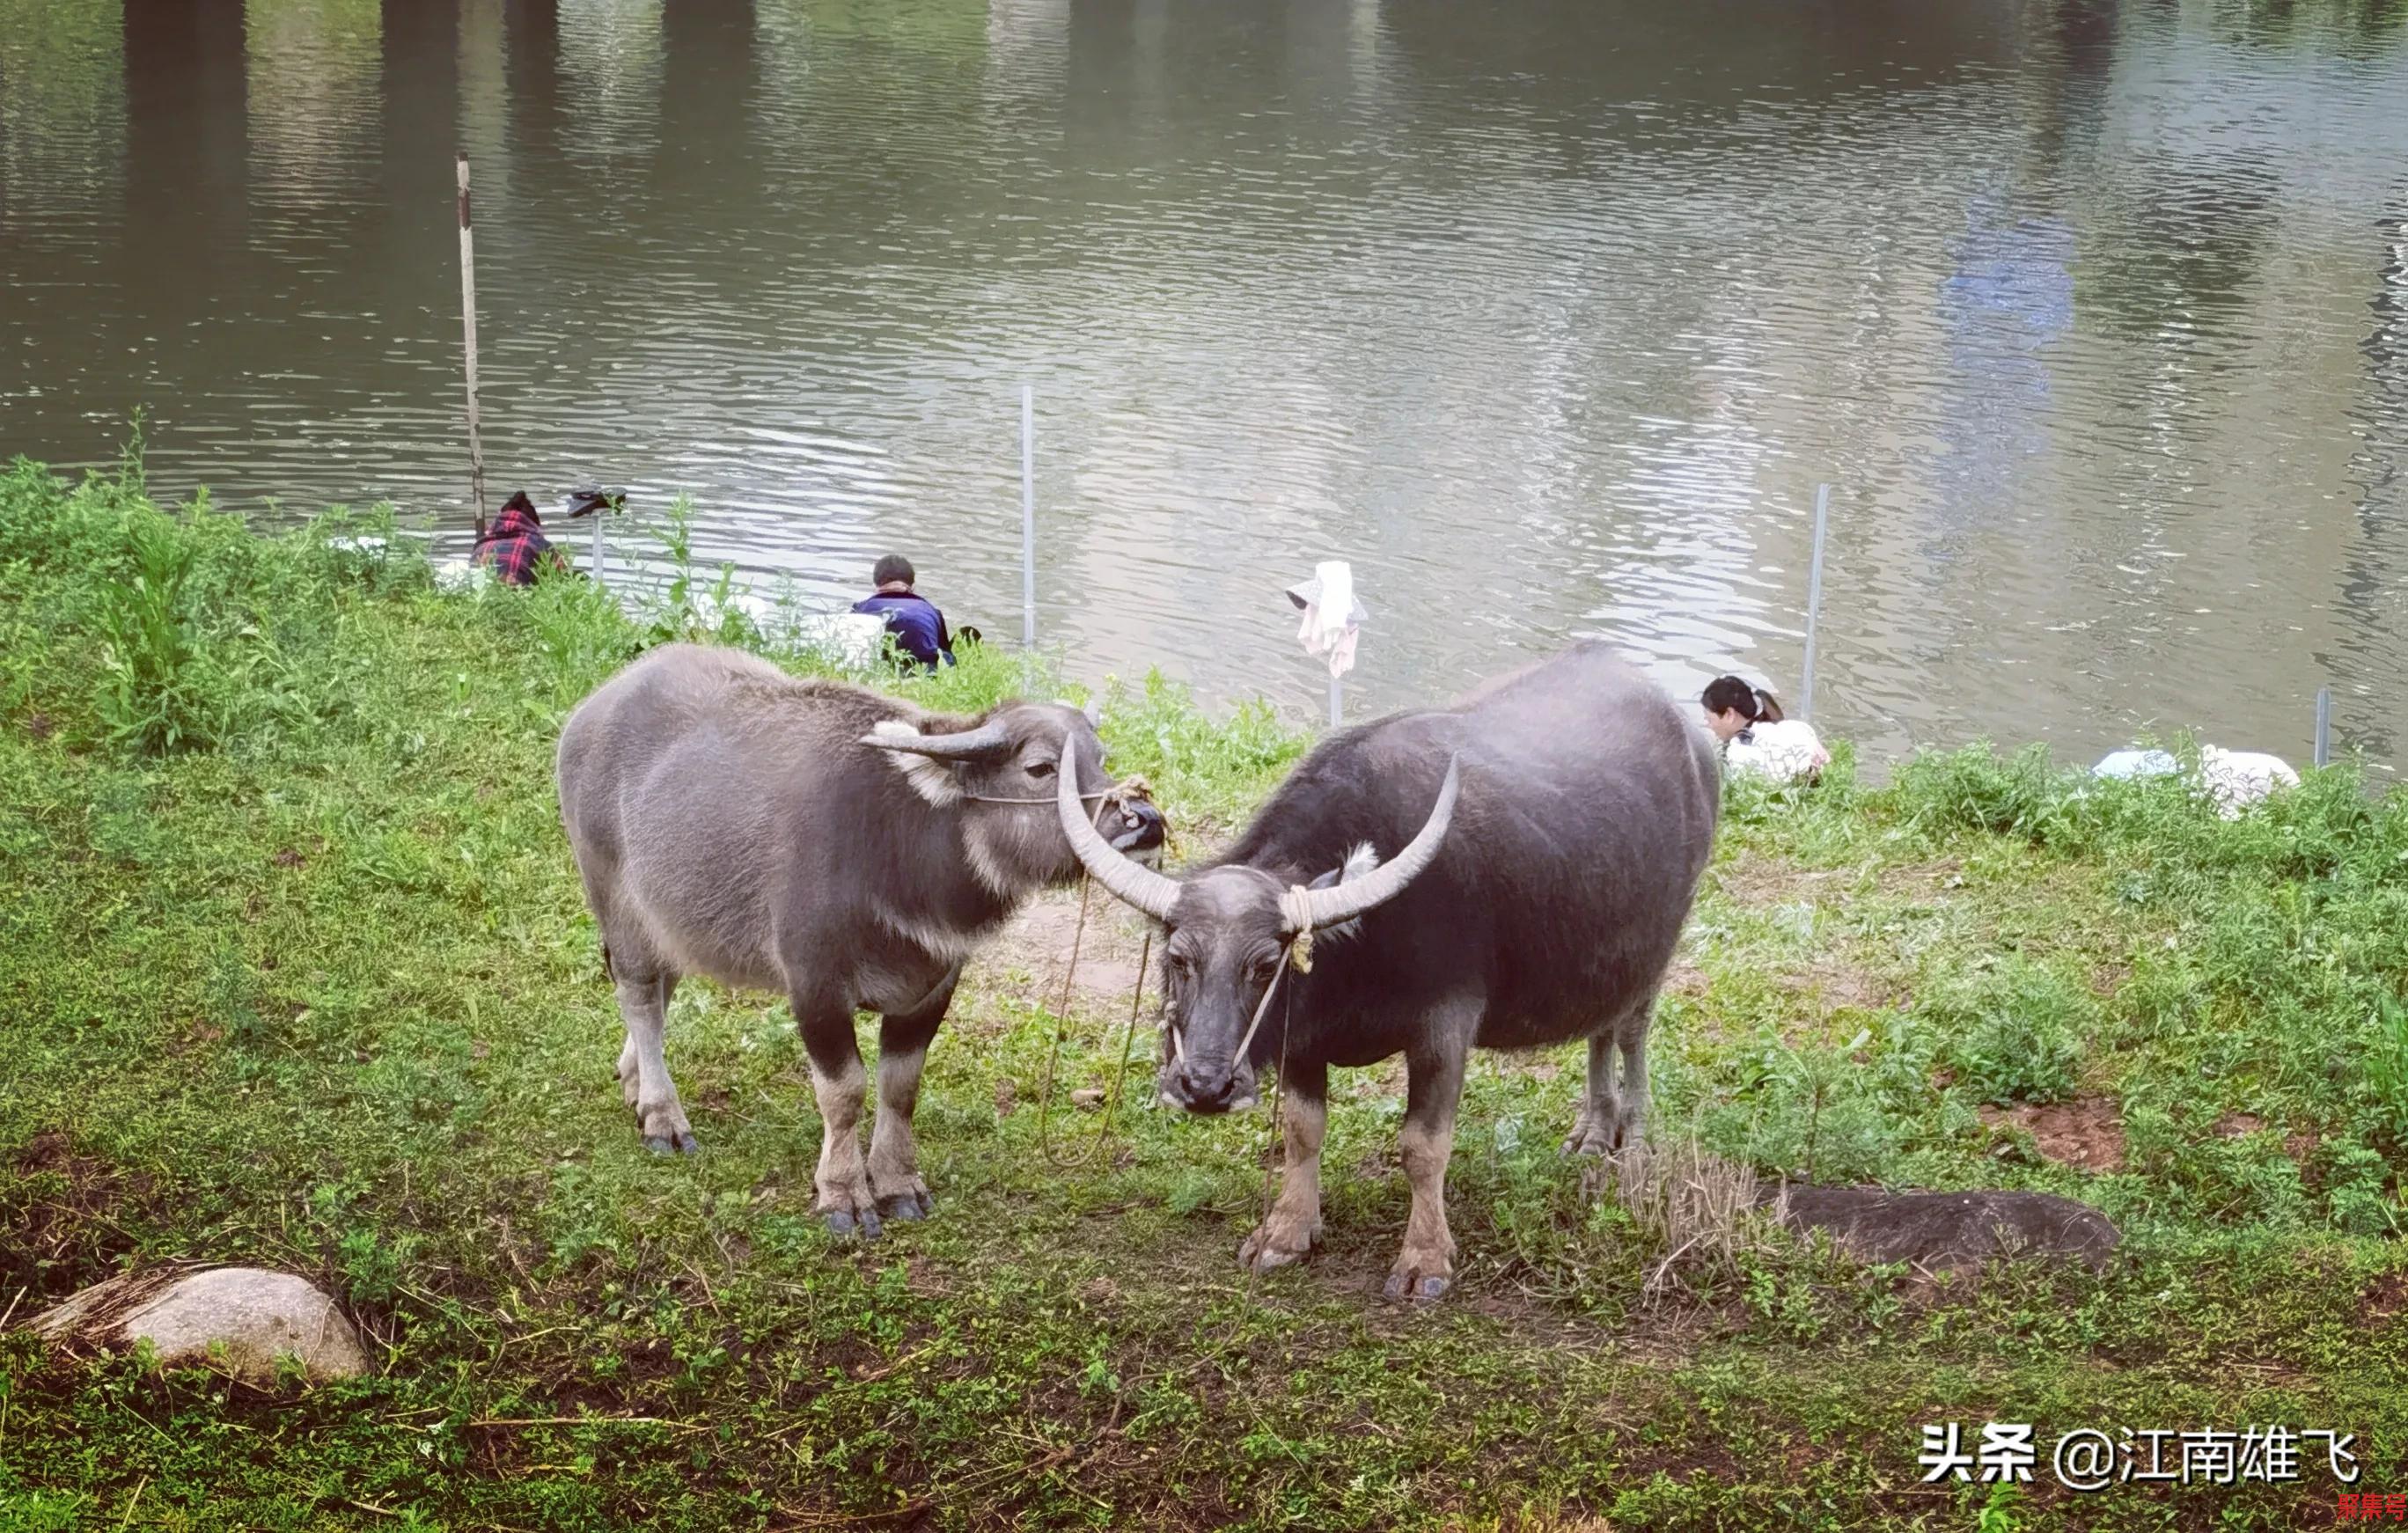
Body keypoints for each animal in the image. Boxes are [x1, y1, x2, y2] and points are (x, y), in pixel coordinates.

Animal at [563, 644, 1165, 1232]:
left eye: (1101, 759)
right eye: (1040, 768)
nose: (1145, 821)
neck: (898, 846)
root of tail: (592, 710)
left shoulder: (934, 986)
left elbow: (900, 1087)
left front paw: (898, 1183)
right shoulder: (814, 986)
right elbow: (844, 1090)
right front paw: (843, 1192)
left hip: (670, 919)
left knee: (661, 990)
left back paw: (634, 1082)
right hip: (616, 904)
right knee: (640, 997)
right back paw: (662, 1116)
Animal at [1064, 640, 1723, 1299]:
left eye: (1266, 965)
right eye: (1179, 959)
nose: (1204, 1088)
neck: (1362, 943)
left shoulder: (1446, 1024)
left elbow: (1424, 1146)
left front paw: (1425, 1259)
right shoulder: (1302, 1036)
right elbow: (1302, 1129)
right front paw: (1286, 1231)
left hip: (1662, 943)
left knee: (1632, 1029)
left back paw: (1632, 1140)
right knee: (1601, 1028)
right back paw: (1592, 1133)